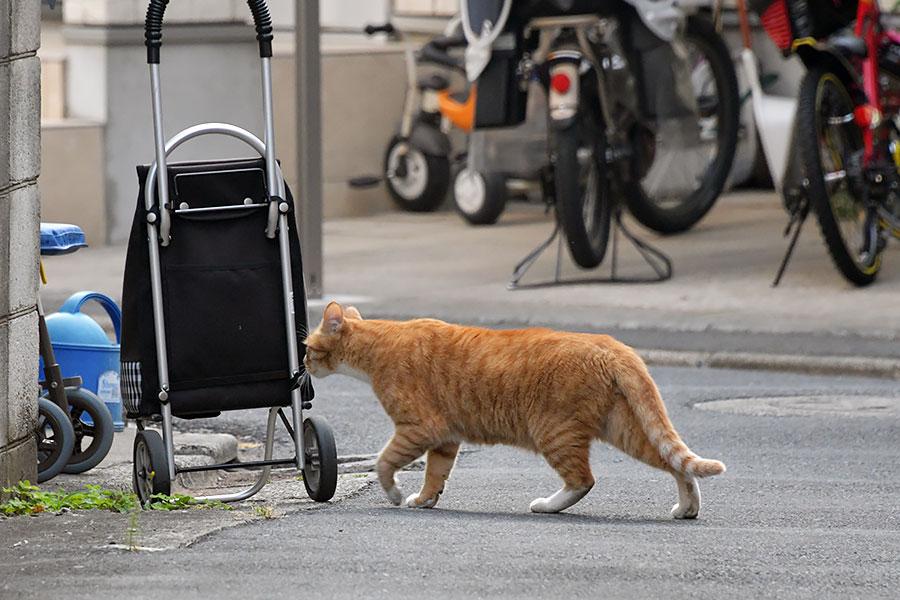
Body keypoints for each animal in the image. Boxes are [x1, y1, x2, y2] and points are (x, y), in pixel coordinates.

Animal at [302, 302, 724, 516]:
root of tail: (613, 345)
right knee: (676, 464)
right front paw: (425, 500)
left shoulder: (419, 428)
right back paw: (687, 508)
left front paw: (394, 494)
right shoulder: (445, 439)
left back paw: (548, 506)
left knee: (583, 480)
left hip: (553, 432)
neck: (380, 343)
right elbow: (435, 474)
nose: (301, 366)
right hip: (623, 428)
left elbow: (384, 463)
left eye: (306, 347)